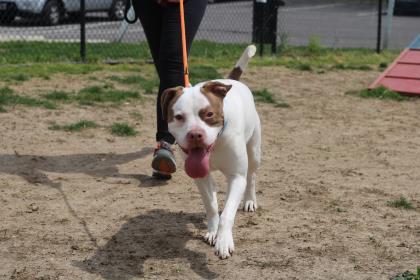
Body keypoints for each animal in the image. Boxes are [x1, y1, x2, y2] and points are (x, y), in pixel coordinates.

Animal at [160, 45, 260, 258]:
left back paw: (249, 200)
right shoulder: (200, 177)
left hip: (255, 151)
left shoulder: (236, 177)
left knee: (252, 176)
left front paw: (223, 241)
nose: (195, 134)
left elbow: (227, 213)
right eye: (178, 117)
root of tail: (231, 81)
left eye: (209, 114)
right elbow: (212, 206)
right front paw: (213, 232)